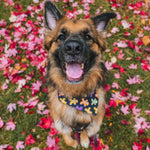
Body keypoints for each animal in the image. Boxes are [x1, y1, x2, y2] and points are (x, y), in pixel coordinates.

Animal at [44, 0, 115, 148]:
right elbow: (66, 133)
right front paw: (72, 143)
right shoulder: (60, 122)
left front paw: (84, 140)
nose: (73, 48)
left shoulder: (92, 123)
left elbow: (85, 131)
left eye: (88, 37)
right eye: (61, 36)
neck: (77, 98)